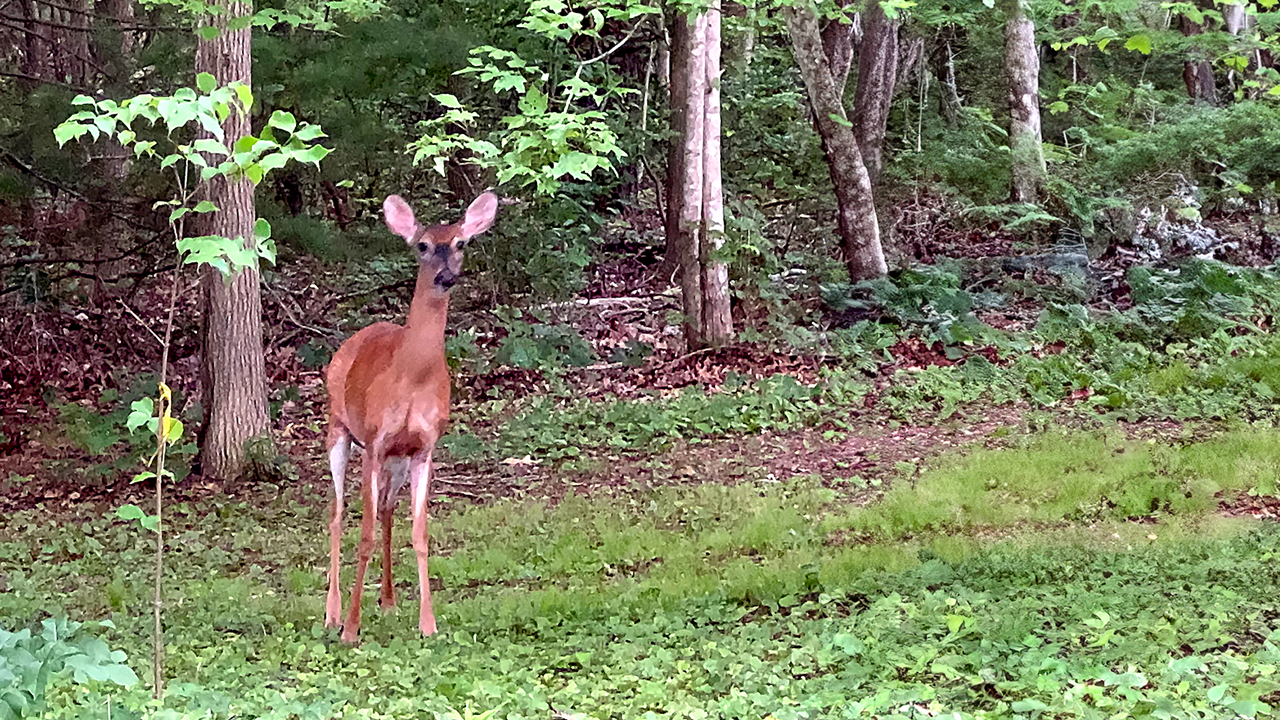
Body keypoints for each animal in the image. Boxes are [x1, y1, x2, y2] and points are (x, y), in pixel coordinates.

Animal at [322, 189, 496, 638]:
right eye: (422, 245)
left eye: (460, 243)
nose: (446, 277)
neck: (413, 376)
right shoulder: (373, 441)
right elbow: (362, 534)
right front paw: (351, 629)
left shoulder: (423, 448)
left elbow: (419, 534)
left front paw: (428, 624)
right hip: (339, 430)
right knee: (337, 514)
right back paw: (332, 613)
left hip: (396, 459)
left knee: (386, 509)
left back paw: (387, 601)